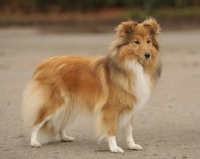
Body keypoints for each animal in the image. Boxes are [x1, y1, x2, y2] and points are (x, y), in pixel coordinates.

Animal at [21, 17, 162, 153]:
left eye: (148, 41)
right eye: (136, 42)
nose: (148, 55)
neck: (133, 64)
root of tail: (42, 64)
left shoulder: (130, 107)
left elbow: (129, 131)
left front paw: (132, 145)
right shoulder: (111, 108)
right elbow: (112, 130)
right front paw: (114, 148)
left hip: (67, 106)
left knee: (59, 122)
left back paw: (65, 137)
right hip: (54, 103)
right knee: (36, 123)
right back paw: (34, 142)